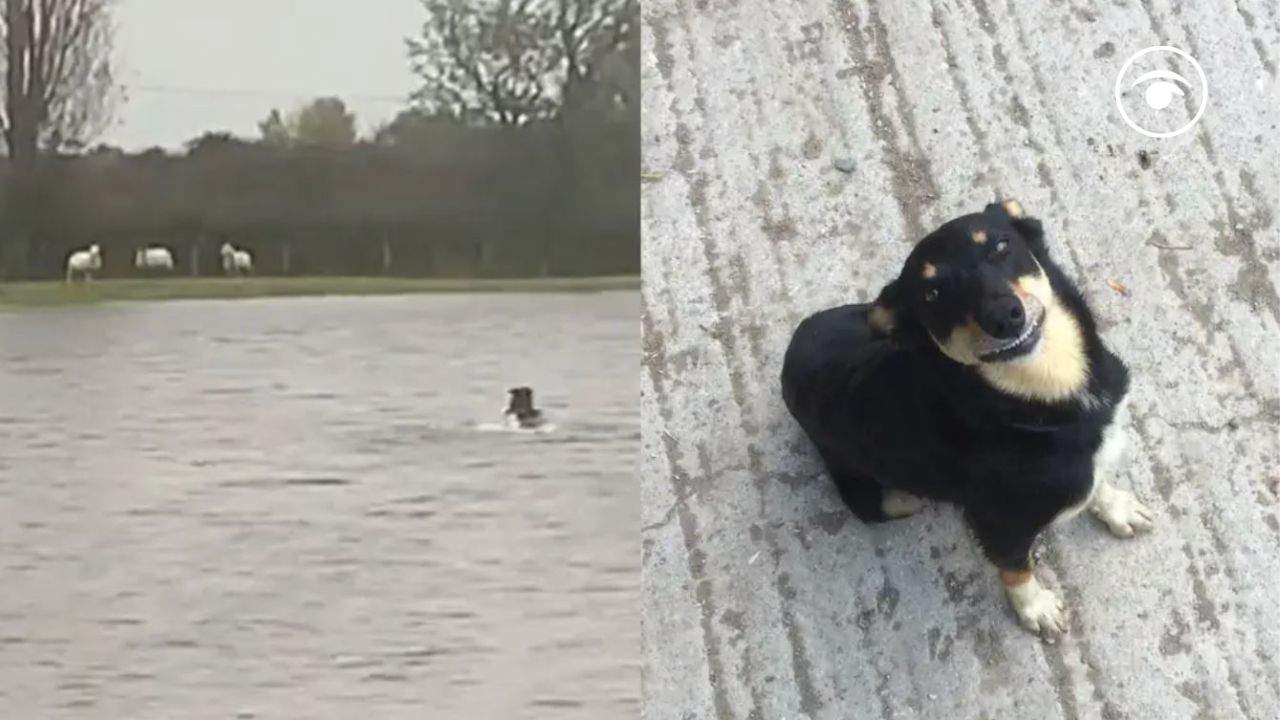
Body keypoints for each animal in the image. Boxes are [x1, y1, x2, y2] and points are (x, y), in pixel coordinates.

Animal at [783, 198, 1157, 635]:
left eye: (1000, 246)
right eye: (933, 292)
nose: (1004, 316)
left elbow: (1098, 483)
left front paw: (1116, 506)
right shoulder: (1000, 526)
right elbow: (1016, 569)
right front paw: (1036, 608)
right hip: (868, 484)